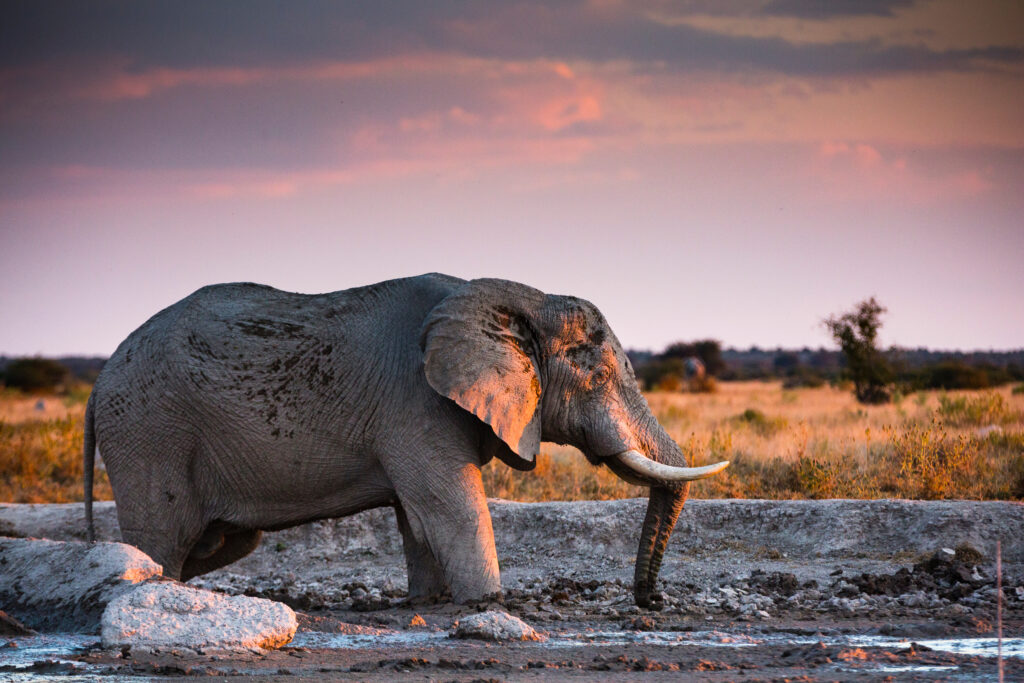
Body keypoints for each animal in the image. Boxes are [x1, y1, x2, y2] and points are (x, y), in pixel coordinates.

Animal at [86, 274, 729, 606]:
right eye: (597, 371)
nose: (653, 603)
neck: (516, 299)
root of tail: (99, 379)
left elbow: (418, 520)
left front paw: (429, 605)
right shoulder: (416, 406)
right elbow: (453, 509)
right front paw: (488, 606)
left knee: (220, 542)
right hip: (149, 429)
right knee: (161, 538)